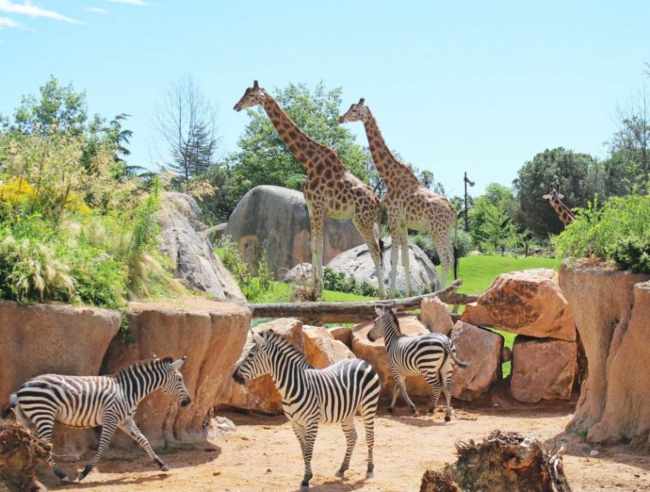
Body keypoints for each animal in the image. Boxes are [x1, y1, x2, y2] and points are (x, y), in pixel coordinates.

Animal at [5, 356, 192, 482]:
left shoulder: (125, 420)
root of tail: (21, 388)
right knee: (44, 445)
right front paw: (85, 471)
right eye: (180, 379)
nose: (188, 402)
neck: (127, 391)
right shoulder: (111, 418)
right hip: (44, 415)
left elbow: (143, 440)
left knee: (35, 443)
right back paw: (61, 475)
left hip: (32, 418)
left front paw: (161, 464)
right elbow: (103, 445)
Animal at [232, 328, 380, 490]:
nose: (234, 376)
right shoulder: (295, 423)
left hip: (369, 405)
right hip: (347, 412)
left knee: (370, 437)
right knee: (352, 437)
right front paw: (308, 476)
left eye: (250, 355)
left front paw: (306, 480)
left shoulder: (311, 422)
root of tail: (361, 360)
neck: (292, 387)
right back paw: (342, 468)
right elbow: (304, 450)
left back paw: (370, 469)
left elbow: (309, 451)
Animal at [234, 81, 382, 298]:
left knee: (375, 250)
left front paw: (318, 291)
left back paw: (385, 294)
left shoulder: (318, 205)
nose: (236, 106)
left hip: (364, 220)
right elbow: (314, 246)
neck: (309, 161)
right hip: (359, 219)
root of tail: (377, 201)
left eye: (251, 95)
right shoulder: (313, 207)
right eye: (244, 93)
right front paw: (313, 290)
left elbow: (318, 246)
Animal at [336, 98, 454, 294]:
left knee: (445, 260)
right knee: (451, 259)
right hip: (446, 232)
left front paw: (392, 294)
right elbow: (405, 259)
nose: (340, 118)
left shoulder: (393, 217)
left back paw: (442, 293)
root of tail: (454, 212)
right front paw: (408, 294)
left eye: (354, 110)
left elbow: (393, 259)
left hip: (438, 231)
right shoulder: (403, 222)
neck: (389, 177)